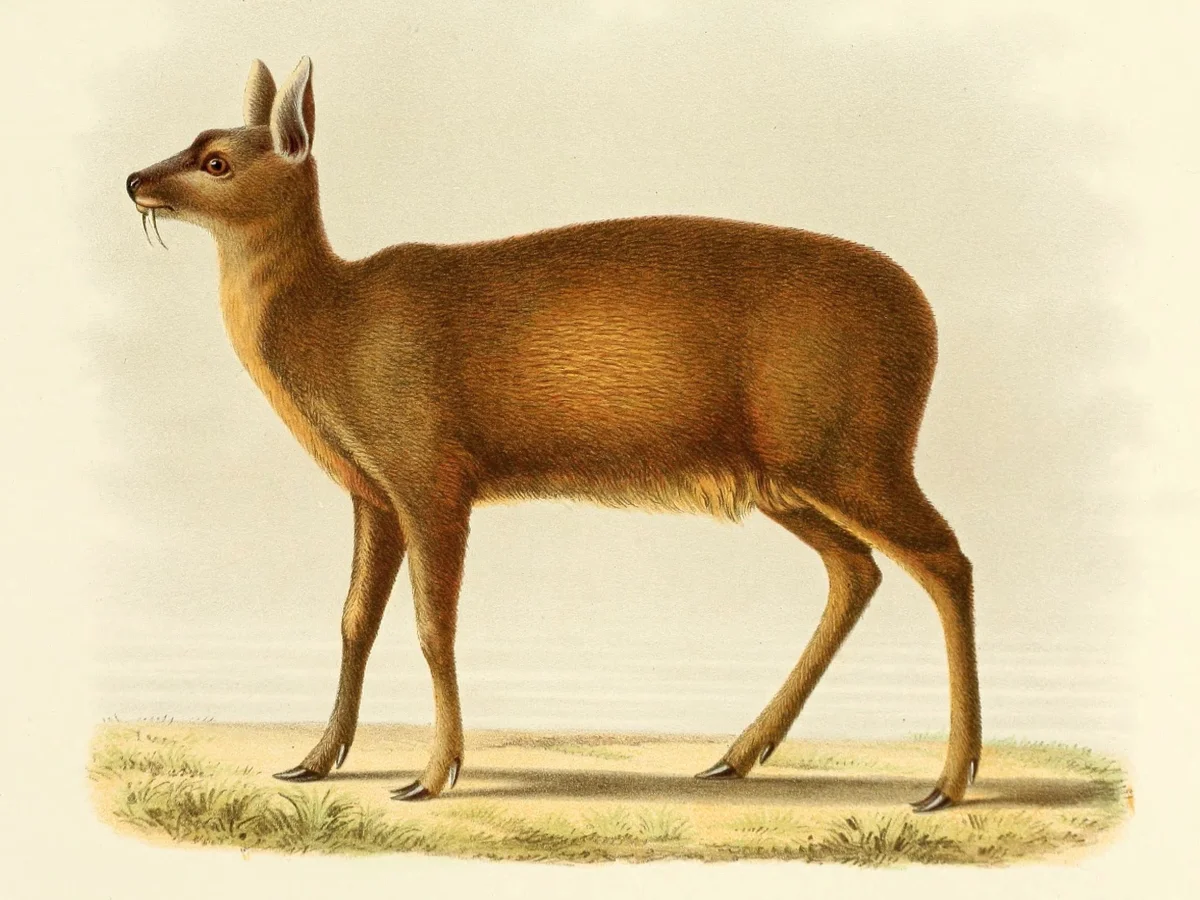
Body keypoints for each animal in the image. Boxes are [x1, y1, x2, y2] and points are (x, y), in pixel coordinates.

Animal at [125, 57, 981, 812]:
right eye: (193, 139)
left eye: (216, 160)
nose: (134, 180)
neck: (334, 327)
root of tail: (927, 318)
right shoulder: (370, 488)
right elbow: (352, 622)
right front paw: (314, 758)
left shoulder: (430, 469)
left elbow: (433, 628)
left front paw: (433, 774)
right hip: (787, 473)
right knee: (857, 570)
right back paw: (739, 755)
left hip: (851, 448)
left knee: (946, 560)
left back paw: (949, 780)